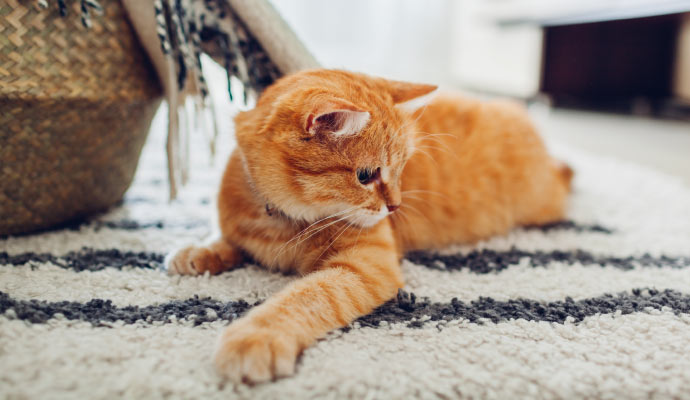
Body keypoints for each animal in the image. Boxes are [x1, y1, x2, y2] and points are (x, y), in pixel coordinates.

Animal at [167, 69, 568, 384]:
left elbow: (307, 296)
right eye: (366, 176)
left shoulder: (365, 267)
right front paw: (199, 249)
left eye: (402, 167)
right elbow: (223, 237)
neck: (281, 223)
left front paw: (256, 336)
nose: (395, 206)